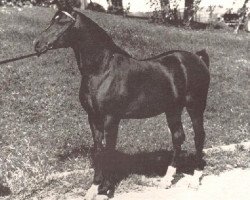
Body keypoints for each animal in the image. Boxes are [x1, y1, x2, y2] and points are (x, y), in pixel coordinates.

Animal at [34, 4, 211, 200]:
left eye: (63, 22)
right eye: (53, 19)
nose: (37, 44)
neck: (102, 69)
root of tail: (198, 58)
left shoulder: (111, 118)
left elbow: (109, 151)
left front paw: (106, 190)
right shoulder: (93, 118)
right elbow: (99, 151)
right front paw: (94, 188)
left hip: (195, 106)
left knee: (199, 136)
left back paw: (195, 178)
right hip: (173, 109)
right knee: (178, 137)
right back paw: (166, 180)